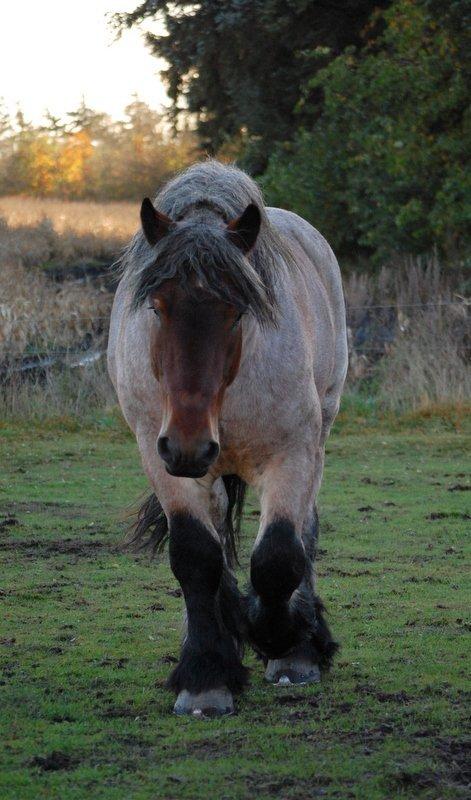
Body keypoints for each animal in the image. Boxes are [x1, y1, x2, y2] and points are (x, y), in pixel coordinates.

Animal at [109, 162, 348, 720]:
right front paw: (205, 677)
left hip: (318, 435)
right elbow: (197, 558)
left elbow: (279, 557)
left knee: (304, 530)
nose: (189, 444)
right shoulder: (162, 460)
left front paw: (284, 639)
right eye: (157, 306)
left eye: (238, 311)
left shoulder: (292, 455)